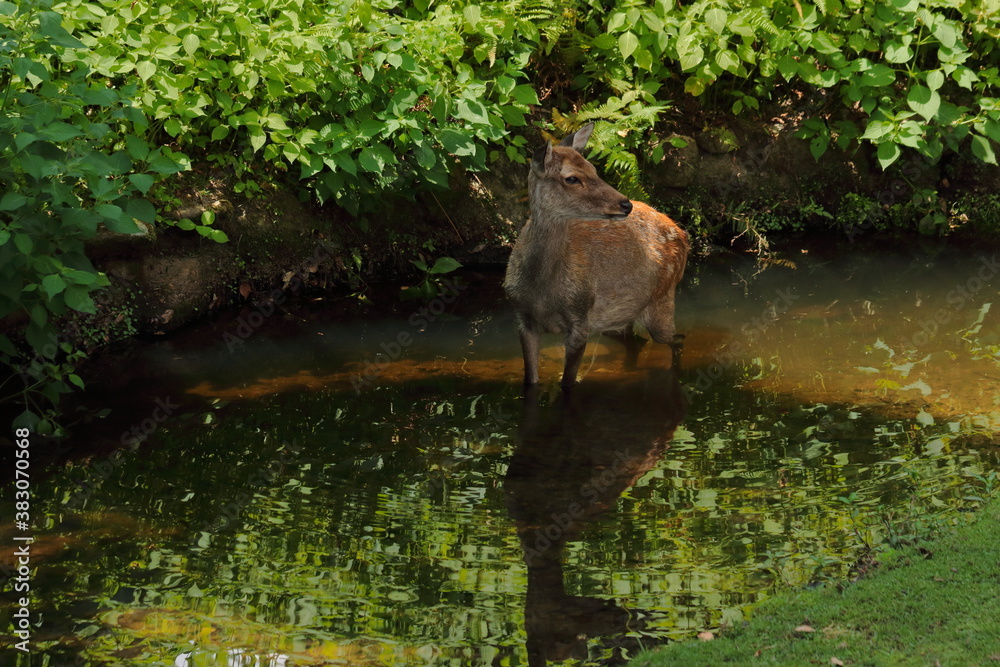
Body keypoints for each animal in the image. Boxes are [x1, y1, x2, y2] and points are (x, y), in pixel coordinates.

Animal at [504, 122, 689, 387]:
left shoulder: (581, 317)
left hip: (661, 301)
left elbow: (568, 382)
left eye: (593, 169)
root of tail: (683, 234)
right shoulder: (523, 318)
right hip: (615, 318)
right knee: (637, 340)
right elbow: (530, 379)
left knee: (677, 338)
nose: (626, 204)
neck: (542, 292)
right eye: (571, 178)